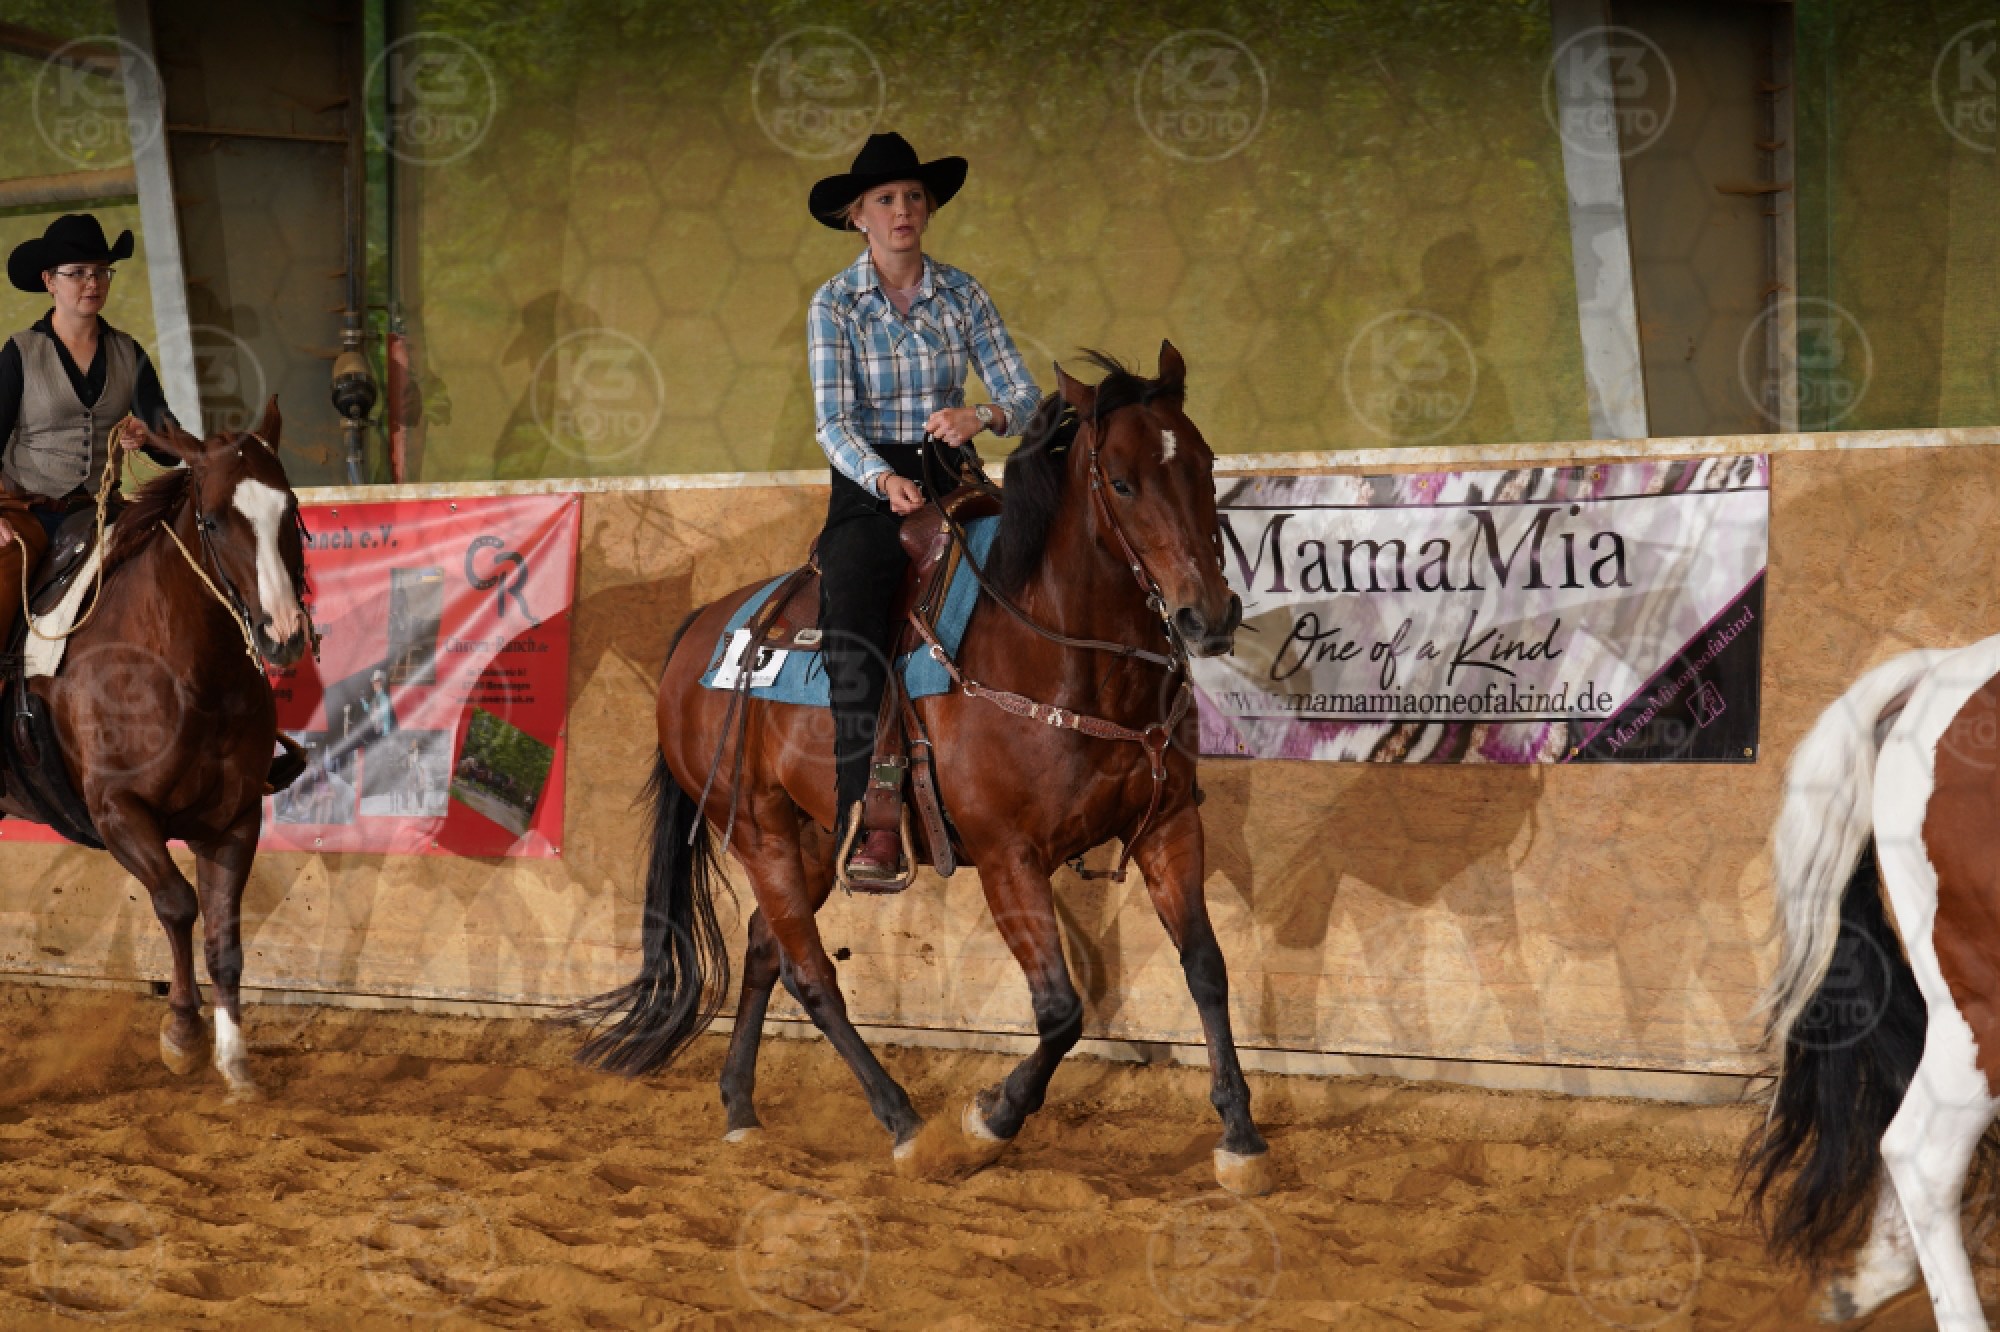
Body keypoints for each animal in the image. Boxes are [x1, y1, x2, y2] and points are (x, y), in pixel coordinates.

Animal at [3, 398, 312, 1099]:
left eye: (291, 510)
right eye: (212, 519)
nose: (282, 633)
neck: (180, 669)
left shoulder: (233, 819)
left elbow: (224, 937)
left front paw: (235, 1064)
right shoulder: (117, 812)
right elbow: (176, 902)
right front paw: (182, 1034)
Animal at [573, 344, 1276, 1194]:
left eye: (1205, 464)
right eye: (1121, 481)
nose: (1208, 617)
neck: (1062, 653)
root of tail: (702, 634)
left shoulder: (1170, 826)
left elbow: (1206, 967)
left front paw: (1240, 1136)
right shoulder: (1009, 856)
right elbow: (1060, 1008)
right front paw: (989, 1118)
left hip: (814, 837)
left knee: (768, 946)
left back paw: (741, 1108)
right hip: (756, 828)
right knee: (812, 974)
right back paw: (905, 1122)